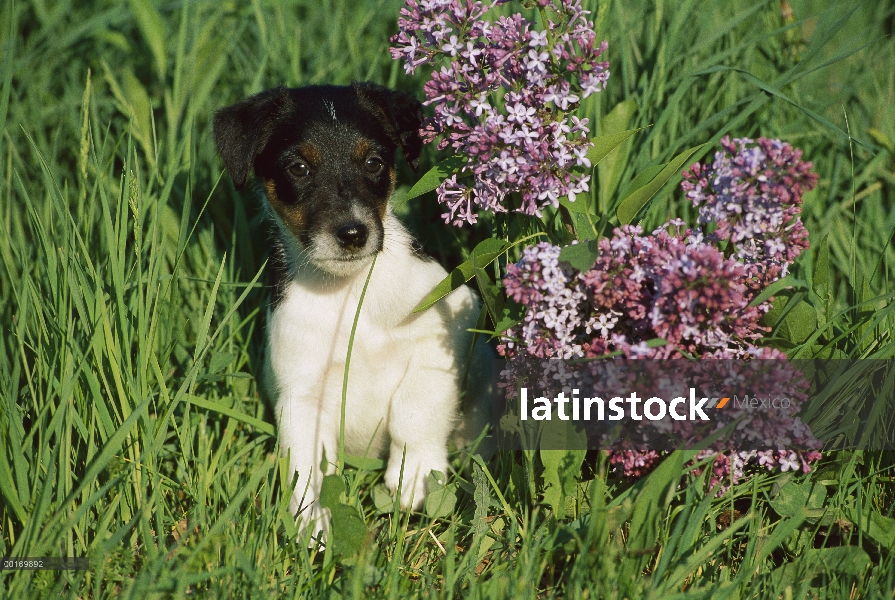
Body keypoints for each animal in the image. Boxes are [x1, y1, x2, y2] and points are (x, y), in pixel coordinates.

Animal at [214, 82, 494, 536]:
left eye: (374, 162)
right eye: (298, 168)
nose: (352, 233)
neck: (350, 292)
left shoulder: (445, 332)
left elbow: (413, 411)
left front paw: (413, 476)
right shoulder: (301, 394)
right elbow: (307, 468)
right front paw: (312, 525)